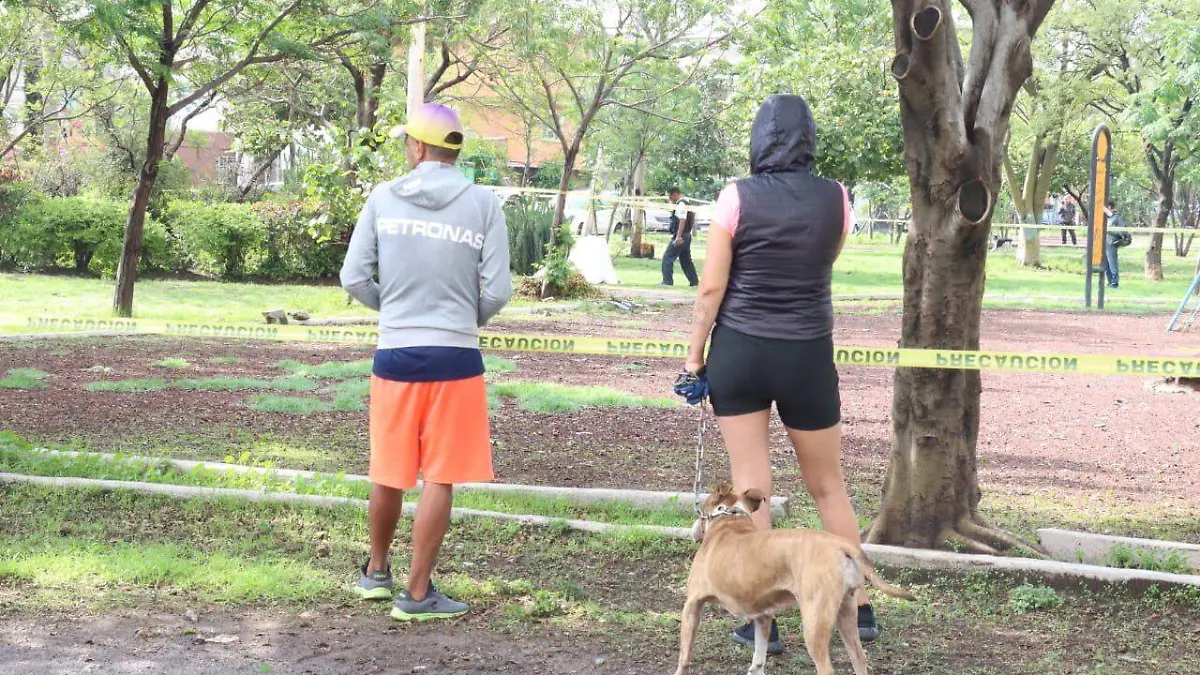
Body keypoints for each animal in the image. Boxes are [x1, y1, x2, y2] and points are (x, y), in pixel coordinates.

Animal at [672, 480, 912, 667]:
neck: (730, 520)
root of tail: (840, 544)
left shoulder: (692, 605)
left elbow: (683, 657)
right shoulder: (763, 616)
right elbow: (757, 661)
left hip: (815, 623)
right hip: (846, 613)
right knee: (859, 659)